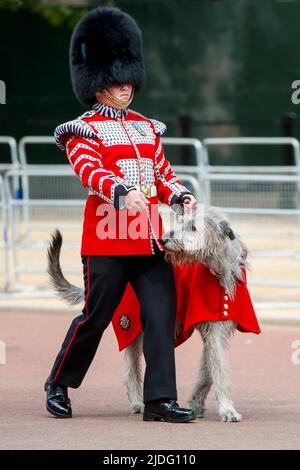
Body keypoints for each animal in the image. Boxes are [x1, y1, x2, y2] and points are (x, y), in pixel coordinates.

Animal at [47, 206, 248, 422]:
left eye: (193, 227)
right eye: (181, 221)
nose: (163, 240)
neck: (220, 270)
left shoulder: (216, 329)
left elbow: (210, 367)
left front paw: (197, 402)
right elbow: (219, 369)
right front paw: (228, 410)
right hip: (129, 323)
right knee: (130, 365)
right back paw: (136, 401)